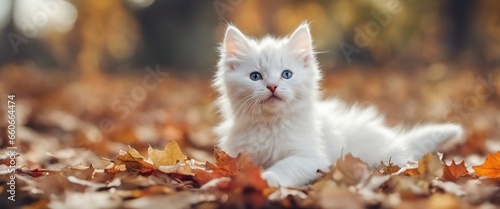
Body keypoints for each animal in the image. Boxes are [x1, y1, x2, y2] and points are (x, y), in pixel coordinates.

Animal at [212, 23, 464, 188]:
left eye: (286, 74)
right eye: (255, 76)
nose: (272, 86)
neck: (269, 125)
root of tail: (396, 141)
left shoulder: (311, 157)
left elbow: (287, 165)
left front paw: (268, 179)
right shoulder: (238, 153)